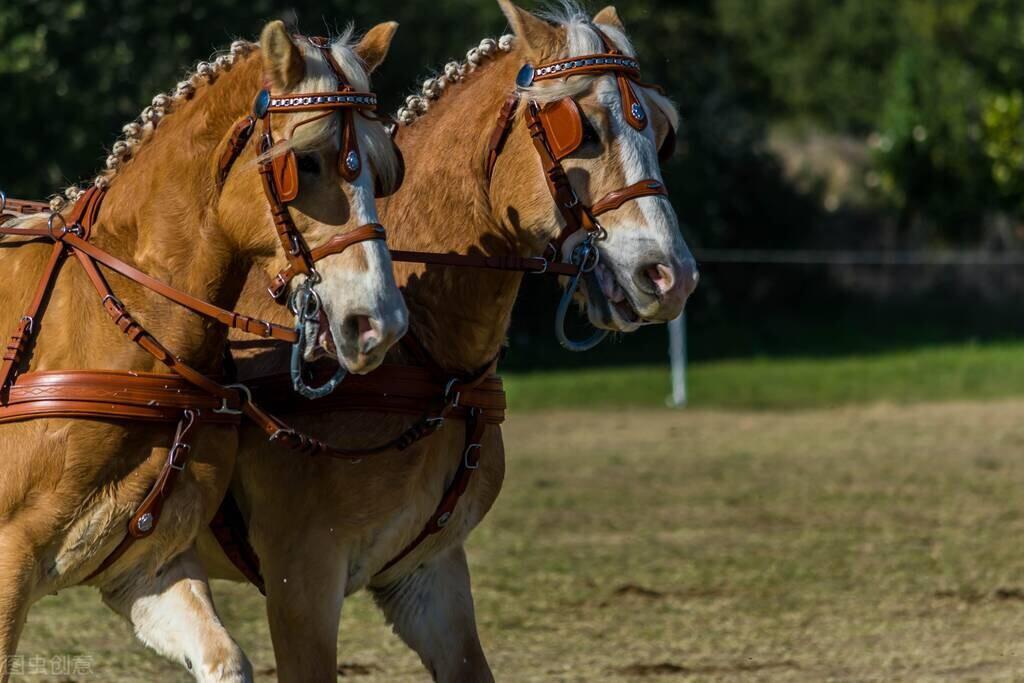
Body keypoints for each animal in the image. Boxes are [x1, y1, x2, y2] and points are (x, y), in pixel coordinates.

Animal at [0, 21, 407, 683]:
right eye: (304, 161)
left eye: (380, 168)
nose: (380, 322)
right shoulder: (10, 563)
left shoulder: (150, 569)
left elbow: (225, 660)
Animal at [195, 2, 696, 679]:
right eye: (584, 130)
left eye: (663, 132)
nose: (671, 276)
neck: (427, 366)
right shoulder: (301, 579)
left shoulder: (426, 573)